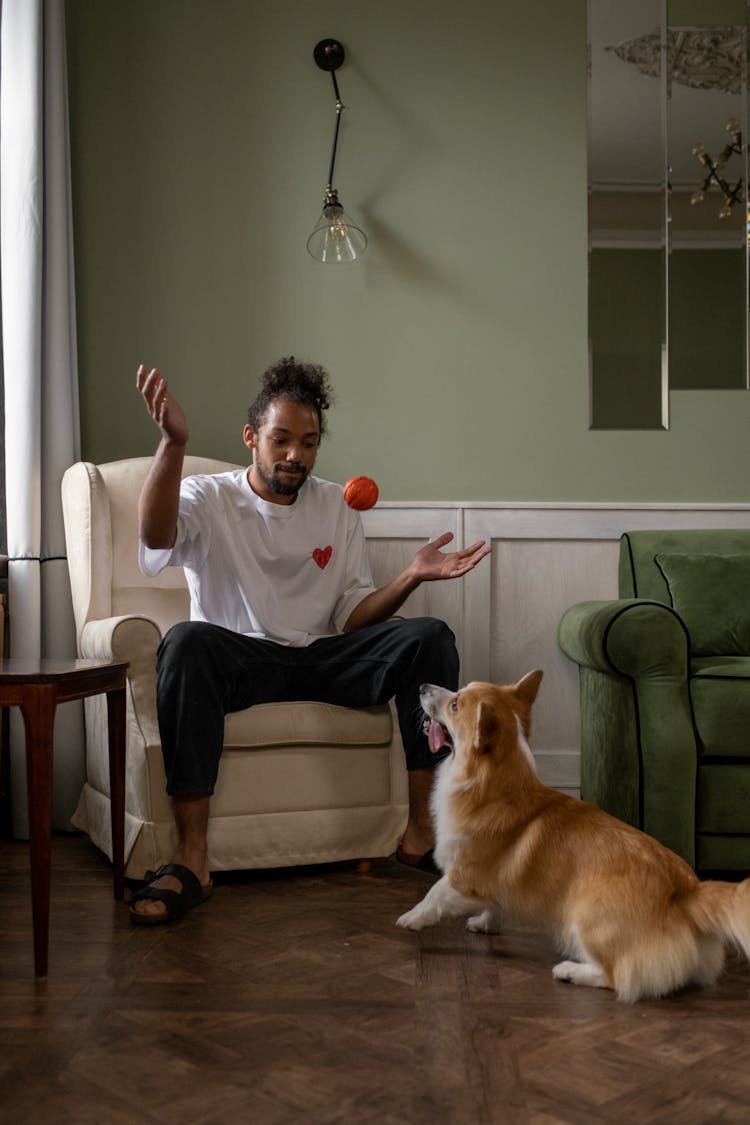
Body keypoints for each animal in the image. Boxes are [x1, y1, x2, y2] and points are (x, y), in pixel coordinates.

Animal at [395, 670, 750, 1008]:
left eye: (455, 704)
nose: (422, 686)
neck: (491, 783)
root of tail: (687, 891)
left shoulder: (463, 875)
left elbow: (434, 894)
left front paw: (411, 918)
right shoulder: (493, 882)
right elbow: (494, 905)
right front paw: (484, 924)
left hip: (587, 920)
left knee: (618, 977)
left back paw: (570, 971)